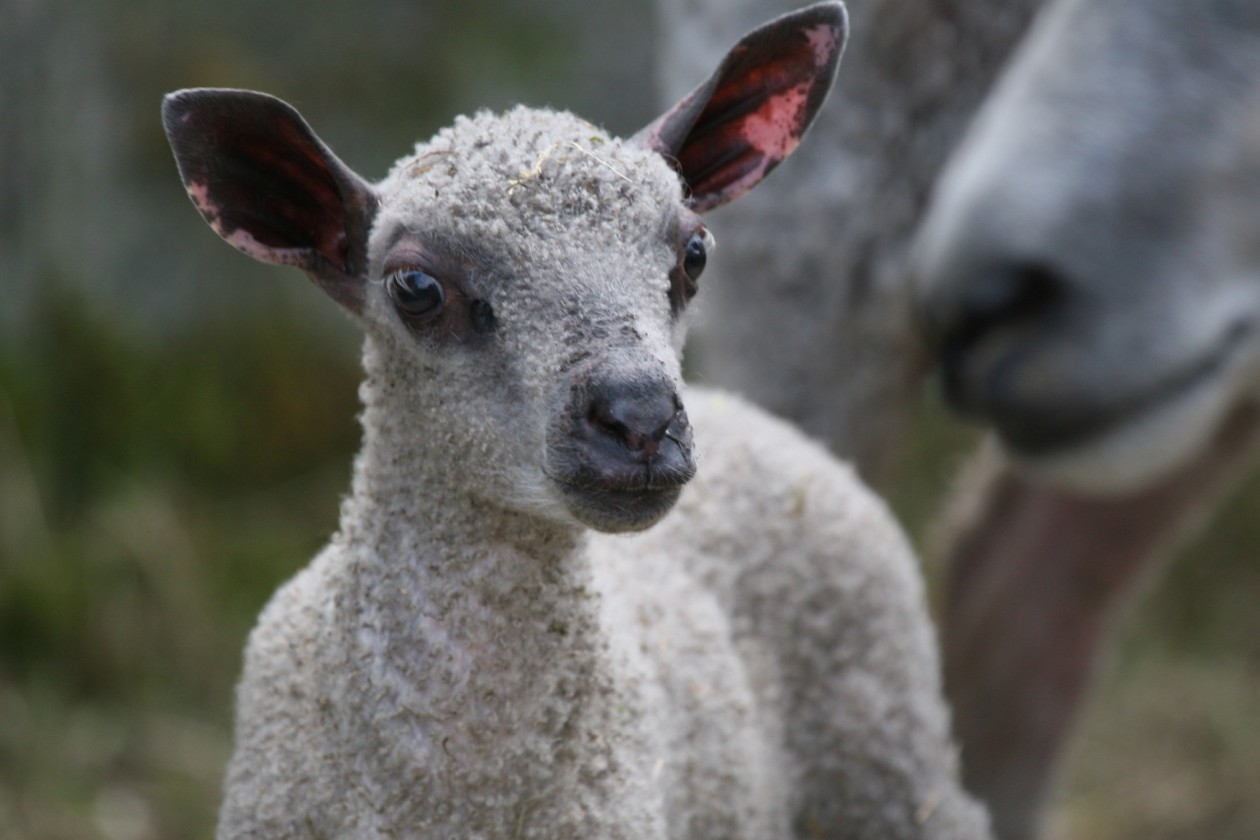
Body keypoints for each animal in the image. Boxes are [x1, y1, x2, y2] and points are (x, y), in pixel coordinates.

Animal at [160, 6, 982, 840]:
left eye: (693, 254)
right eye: (415, 287)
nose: (641, 418)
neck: (461, 787)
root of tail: (746, 411)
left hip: (893, 761)